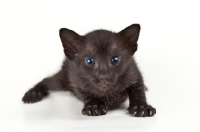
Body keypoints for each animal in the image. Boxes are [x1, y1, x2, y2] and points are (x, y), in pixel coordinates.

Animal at [22, 23, 156, 116]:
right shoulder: (75, 80)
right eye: (90, 61)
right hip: (62, 80)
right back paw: (33, 94)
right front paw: (94, 106)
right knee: (47, 80)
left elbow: (138, 91)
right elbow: (85, 93)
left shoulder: (134, 72)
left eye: (115, 59)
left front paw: (140, 107)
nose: (104, 76)